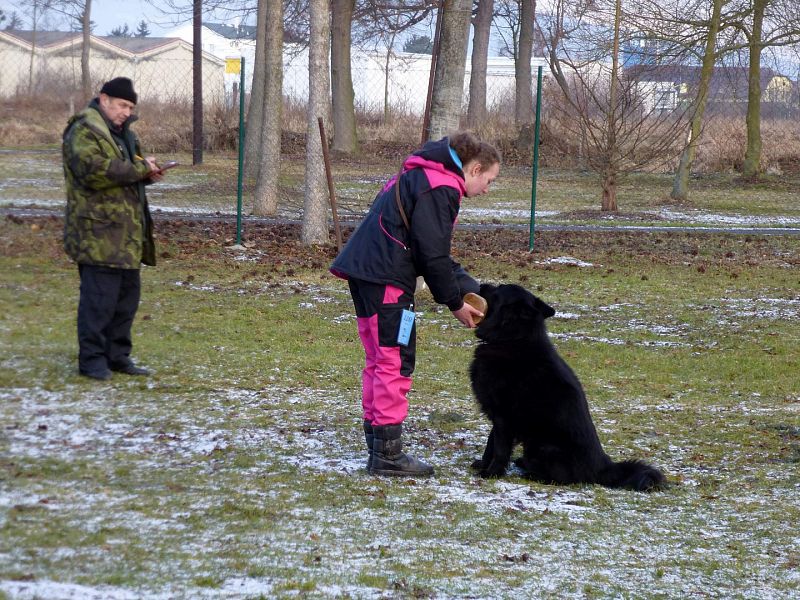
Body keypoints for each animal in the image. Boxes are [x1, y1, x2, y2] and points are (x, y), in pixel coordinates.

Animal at [468, 284, 664, 490]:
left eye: (499, 288)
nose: (481, 285)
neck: (512, 339)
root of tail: (604, 468)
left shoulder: (503, 417)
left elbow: (499, 449)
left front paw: (491, 473)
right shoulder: (498, 417)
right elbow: (490, 444)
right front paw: (483, 464)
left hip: (541, 446)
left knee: (564, 479)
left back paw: (532, 474)